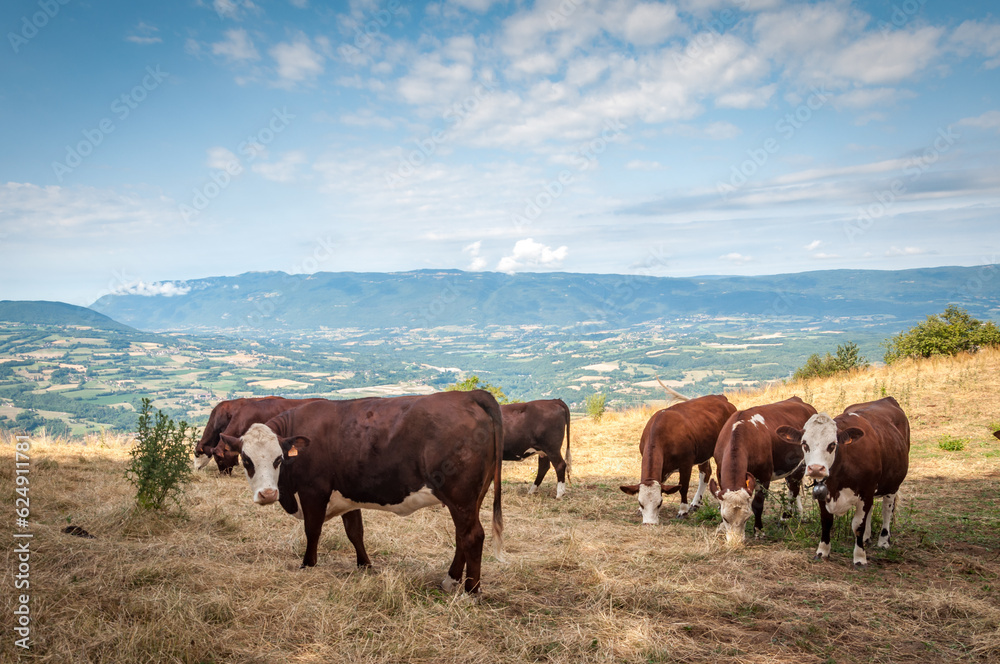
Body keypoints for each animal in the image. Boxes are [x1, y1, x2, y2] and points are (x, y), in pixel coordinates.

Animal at [216, 386, 504, 592]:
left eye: (278, 459)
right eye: (246, 459)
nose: (267, 494)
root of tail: (470, 395)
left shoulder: (313, 492)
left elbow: (312, 530)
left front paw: (308, 564)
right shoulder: (347, 495)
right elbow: (355, 532)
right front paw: (365, 565)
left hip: (461, 497)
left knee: (472, 536)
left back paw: (471, 590)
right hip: (472, 498)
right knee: (461, 535)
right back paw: (450, 580)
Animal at [616, 394, 736, 524]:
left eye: (660, 503)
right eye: (640, 503)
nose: (649, 523)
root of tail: (720, 397)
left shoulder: (686, 464)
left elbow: (683, 487)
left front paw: (683, 511)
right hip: (704, 452)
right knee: (706, 473)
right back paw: (695, 503)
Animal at [708, 394, 816, 544]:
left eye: (747, 518)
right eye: (725, 518)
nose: (736, 543)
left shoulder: (764, 476)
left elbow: (757, 505)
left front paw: (759, 530)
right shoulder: (719, 473)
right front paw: (722, 528)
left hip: (803, 463)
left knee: (793, 490)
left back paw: (785, 518)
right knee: (793, 487)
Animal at [776, 396, 912, 568]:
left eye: (832, 444)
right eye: (804, 444)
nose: (816, 468)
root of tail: (886, 399)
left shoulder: (866, 491)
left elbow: (858, 525)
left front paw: (860, 557)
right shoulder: (823, 493)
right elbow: (826, 521)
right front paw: (822, 551)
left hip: (892, 485)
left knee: (887, 510)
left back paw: (883, 541)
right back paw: (867, 537)